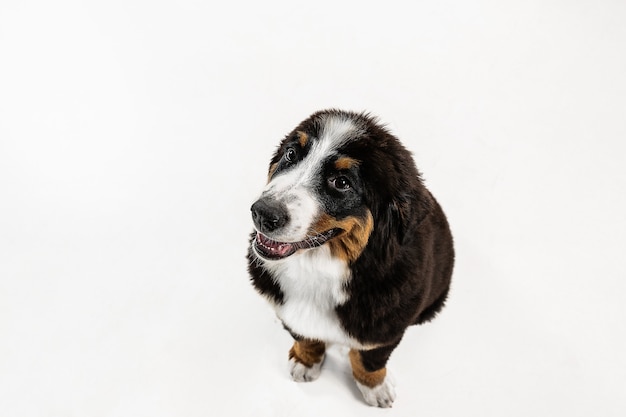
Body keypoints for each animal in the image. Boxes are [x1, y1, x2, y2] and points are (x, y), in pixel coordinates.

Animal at [245, 108, 454, 406]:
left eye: (341, 182)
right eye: (291, 154)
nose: (262, 213)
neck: (318, 268)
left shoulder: (387, 328)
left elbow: (370, 358)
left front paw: (375, 388)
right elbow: (305, 336)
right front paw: (305, 361)